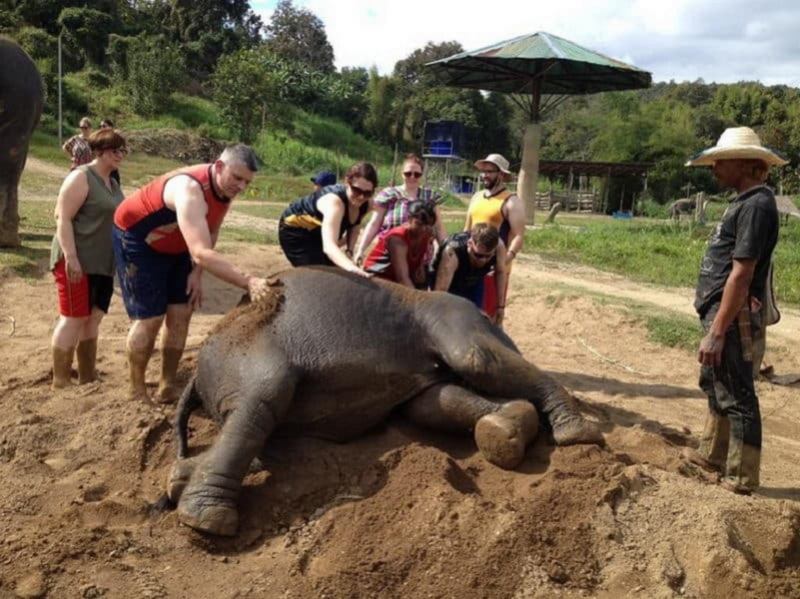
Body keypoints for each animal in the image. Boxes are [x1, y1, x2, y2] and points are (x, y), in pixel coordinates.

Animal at [170, 270, 608, 536]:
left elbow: (439, 395)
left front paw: (512, 430)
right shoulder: (450, 313)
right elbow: (472, 363)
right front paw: (575, 434)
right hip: (244, 353)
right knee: (265, 397)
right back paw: (205, 518)